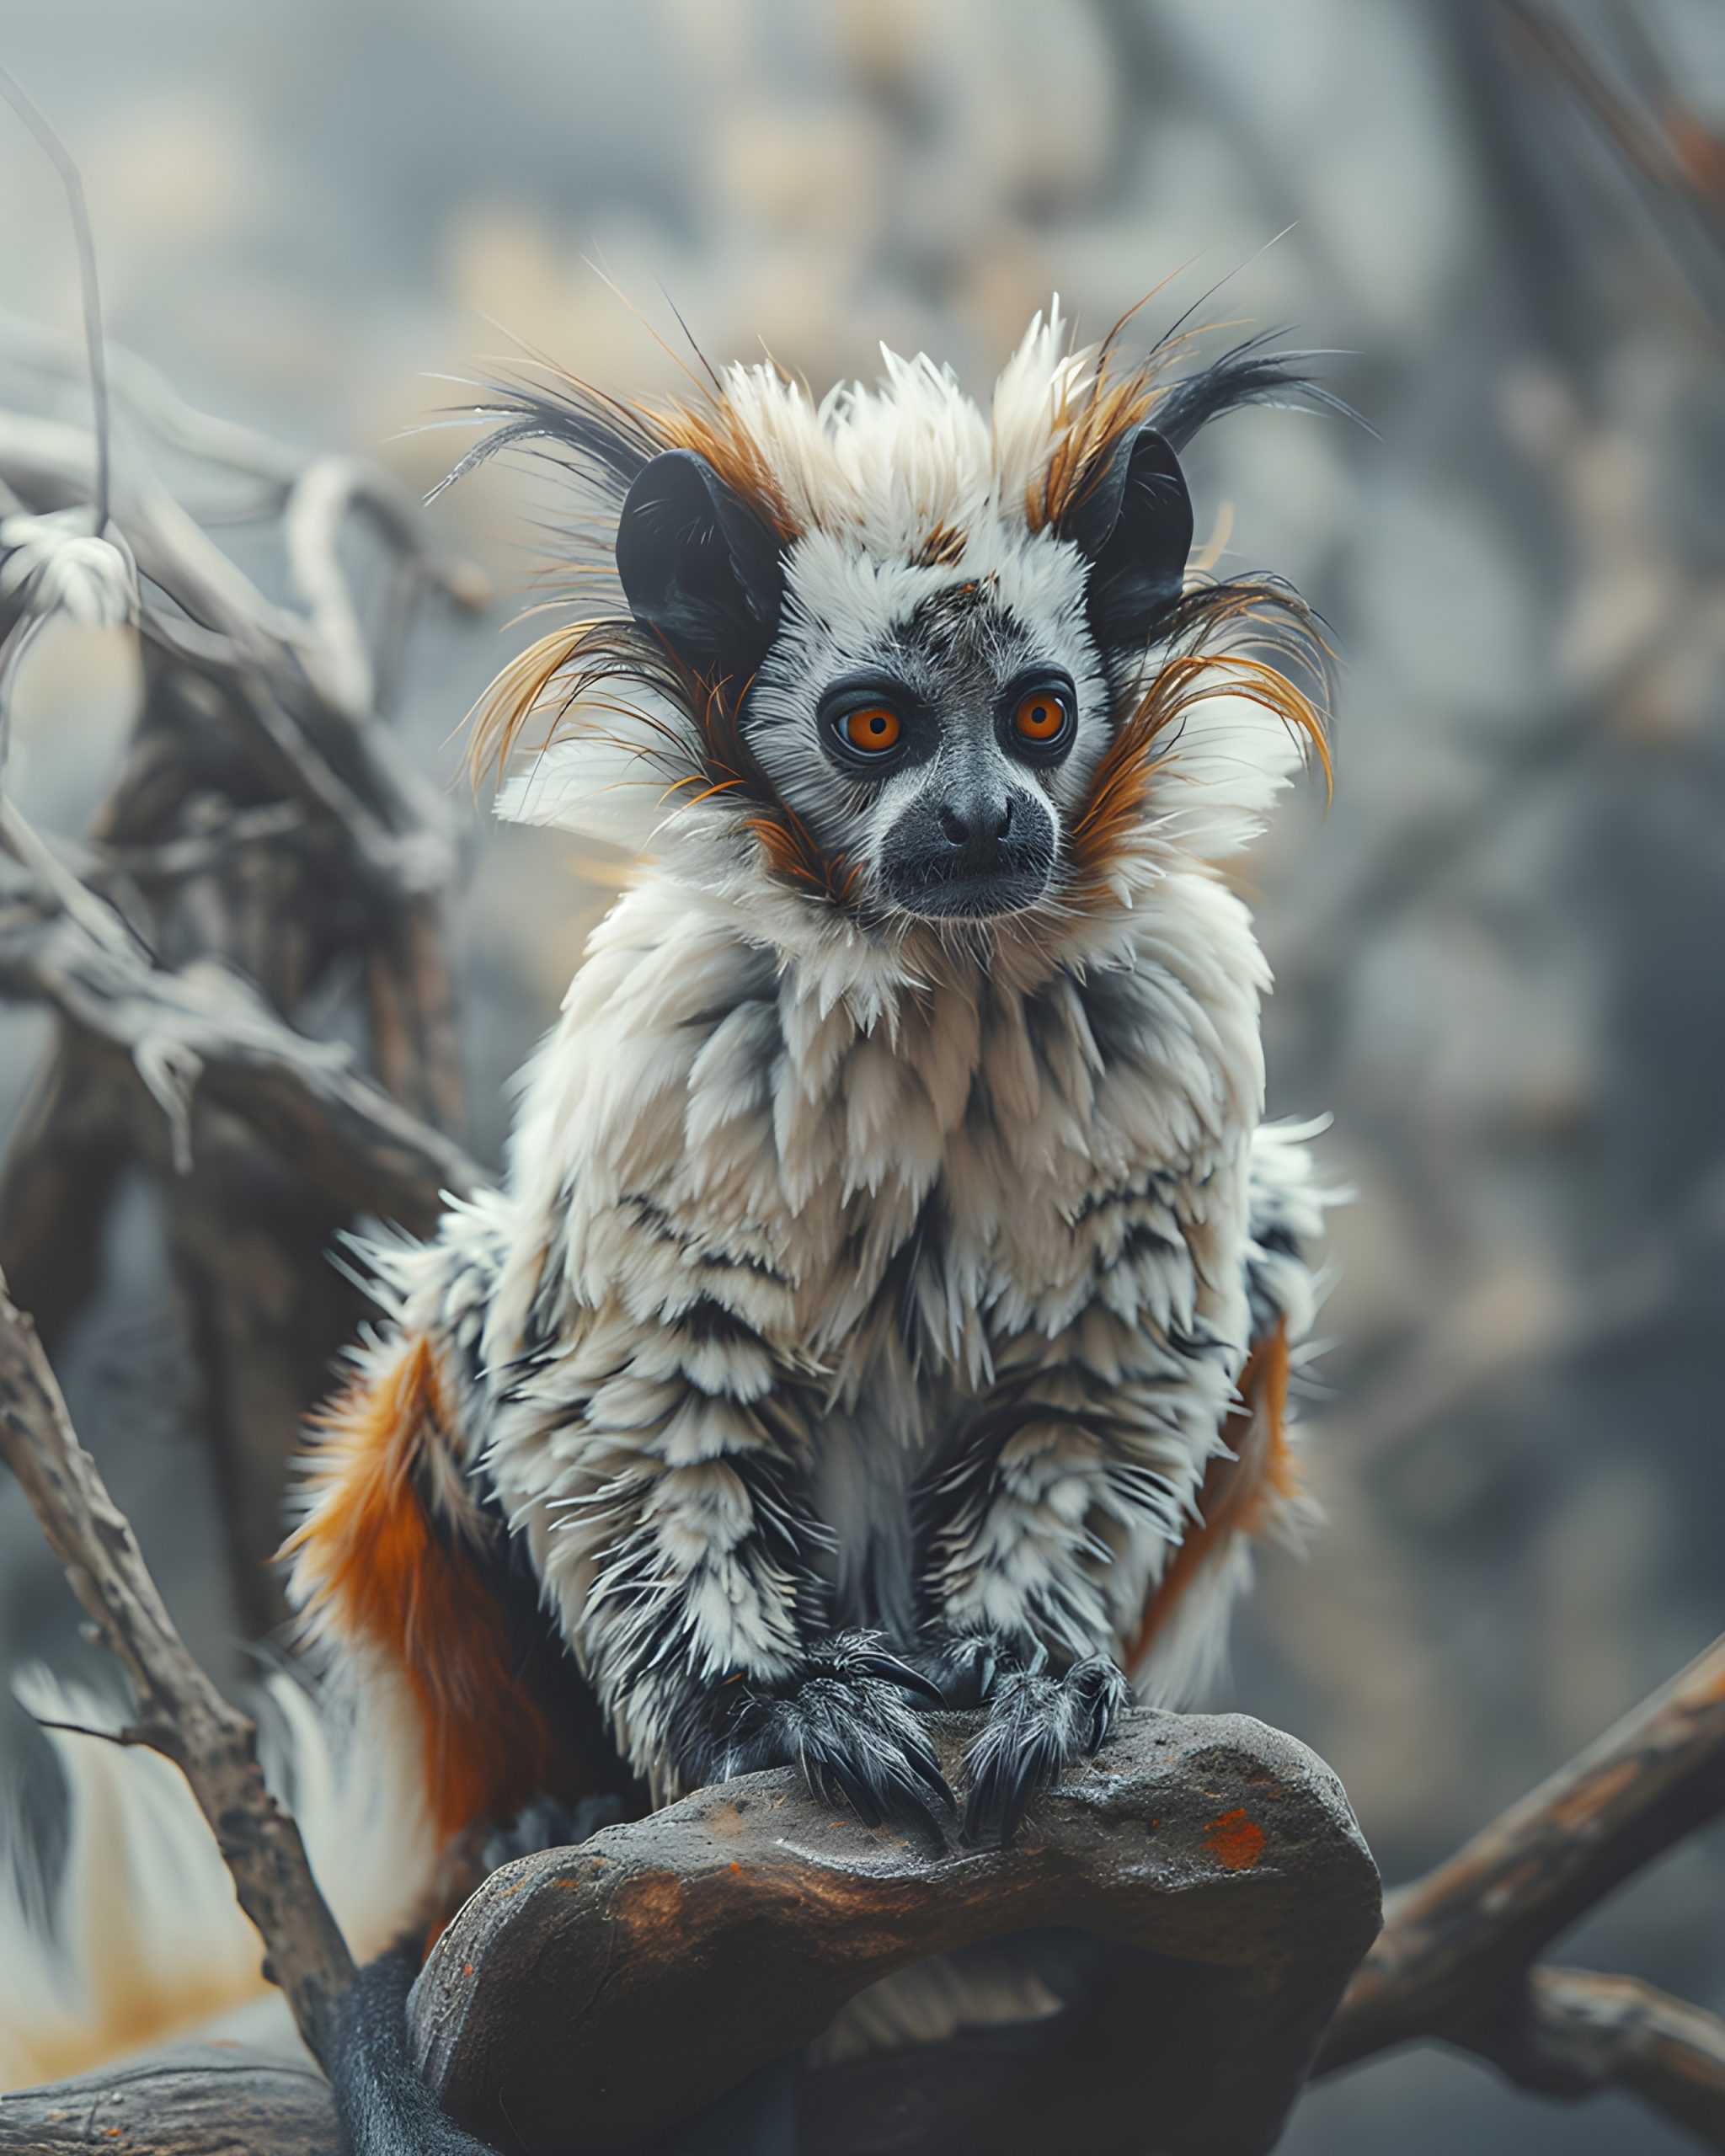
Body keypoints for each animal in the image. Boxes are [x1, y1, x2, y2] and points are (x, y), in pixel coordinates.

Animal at [2, 305, 1341, 2144]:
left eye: (1039, 712)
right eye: (870, 729)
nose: (986, 820)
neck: (941, 973)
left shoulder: (1166, 1029)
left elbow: (1101, 1372)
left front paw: (1028, 1671)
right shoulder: (691, 1048)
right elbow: (648, 1378)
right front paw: (775, 1708)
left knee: (1264, 1240)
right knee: (479, 1301)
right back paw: (546, 1819)